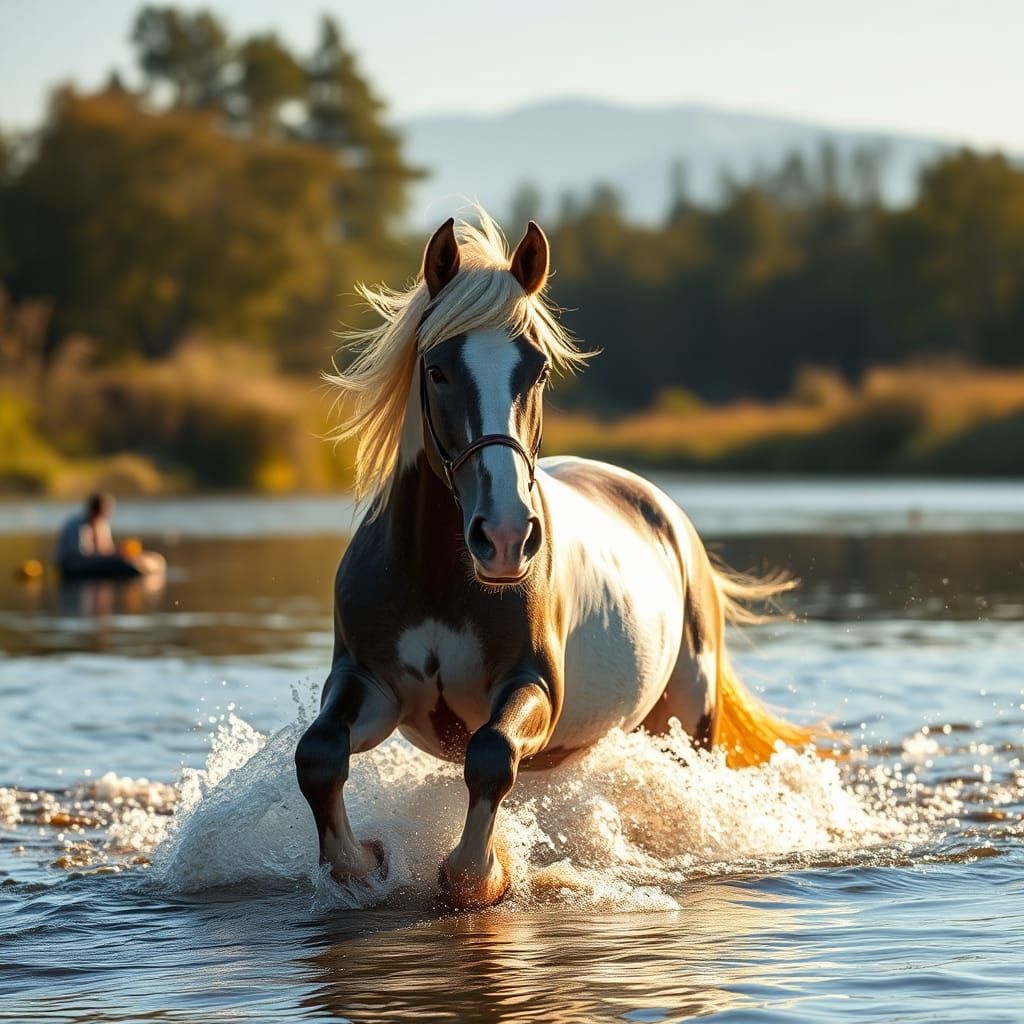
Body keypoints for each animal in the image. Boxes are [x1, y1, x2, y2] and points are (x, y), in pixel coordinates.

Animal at [295, 209, 824, 909]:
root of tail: (668, 517)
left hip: (686, 719)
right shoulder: (371, 685)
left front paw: (478, 874)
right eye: (437, 370)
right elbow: (320, 754)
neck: (438, 576)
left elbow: (491, 755)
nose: (504, 537)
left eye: (538, 371)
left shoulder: (533, 687)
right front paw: (358, 865)